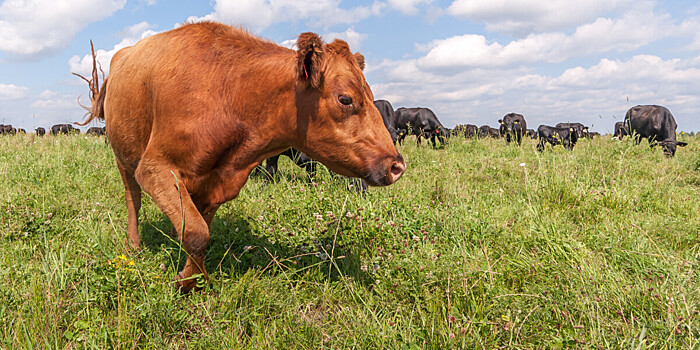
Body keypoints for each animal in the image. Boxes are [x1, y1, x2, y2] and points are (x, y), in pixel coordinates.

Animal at [76, 21, 404, 292]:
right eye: (345, 99)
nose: (396, 165)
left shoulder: (214, 183)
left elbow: (198, 229)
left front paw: (192, 275)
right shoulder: (156, 167)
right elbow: (197, 233)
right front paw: (186, 283)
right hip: (124, 156)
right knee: (132, 199)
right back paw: (133, 246)